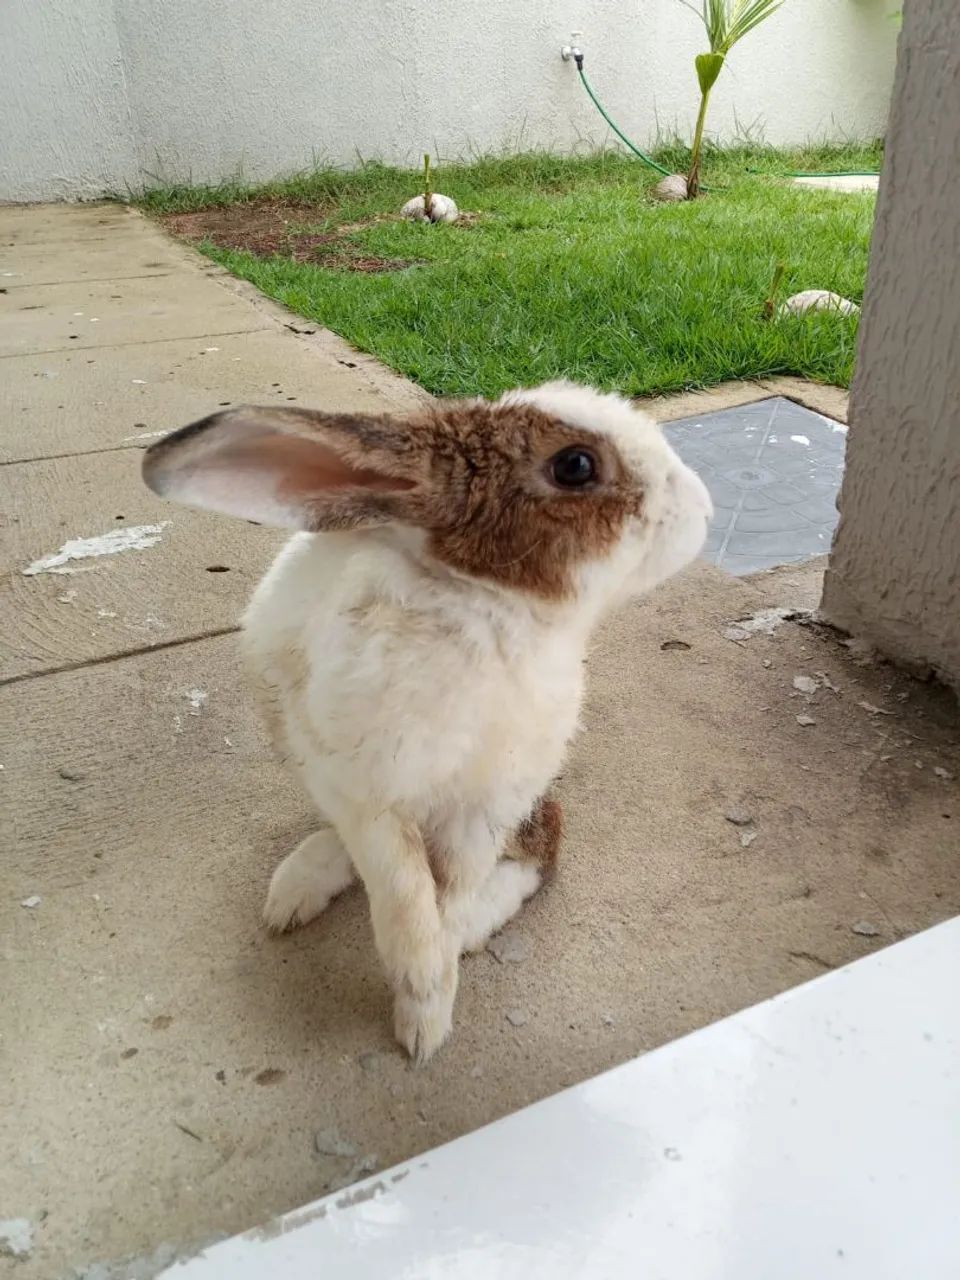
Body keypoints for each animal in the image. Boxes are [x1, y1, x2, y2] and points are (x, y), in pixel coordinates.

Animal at [142, 381, 712, 1063]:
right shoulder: (368, 795)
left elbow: (456, 891)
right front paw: (422, 1010)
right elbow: (405, 896)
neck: (482, 605)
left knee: (542, 848)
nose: (703, 506)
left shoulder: (488, 804)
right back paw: (294, 893)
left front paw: (439, 982)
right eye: (575, 465)